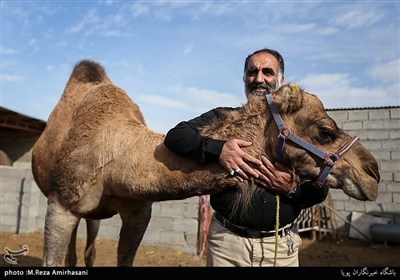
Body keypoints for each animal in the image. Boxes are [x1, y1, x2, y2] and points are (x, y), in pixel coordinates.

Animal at [31, 59, 378, 266]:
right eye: (325, 131)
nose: (372, 173)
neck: (117, 157)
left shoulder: (140, 212)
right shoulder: (61, 206)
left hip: (94, 215)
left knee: (88, 250)